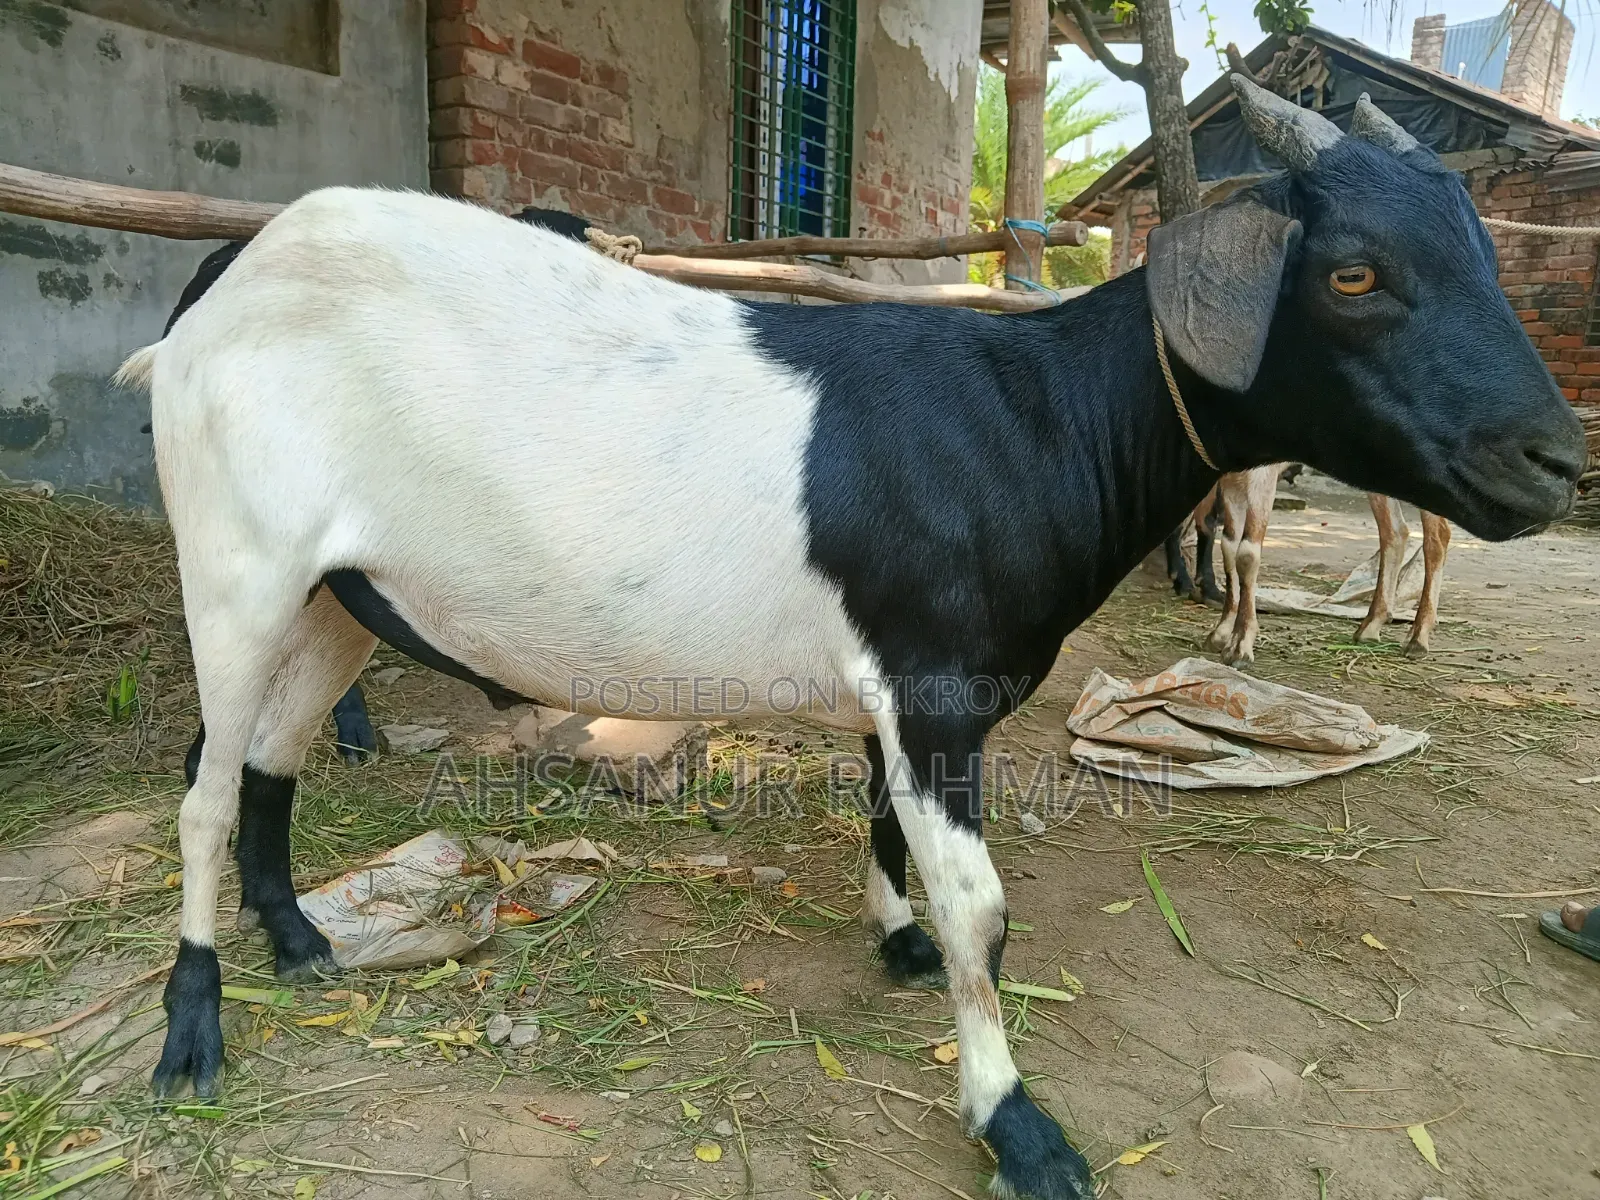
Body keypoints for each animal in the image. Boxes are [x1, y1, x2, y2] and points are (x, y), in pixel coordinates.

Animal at [1205, 464, 1452, 662]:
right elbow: (1229, 546)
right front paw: (1221, 633)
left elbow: (1246, 554)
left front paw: (1239, 647)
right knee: (1394, 531)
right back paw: (1370, 627)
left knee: (1437, 536)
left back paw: (1417, 638)